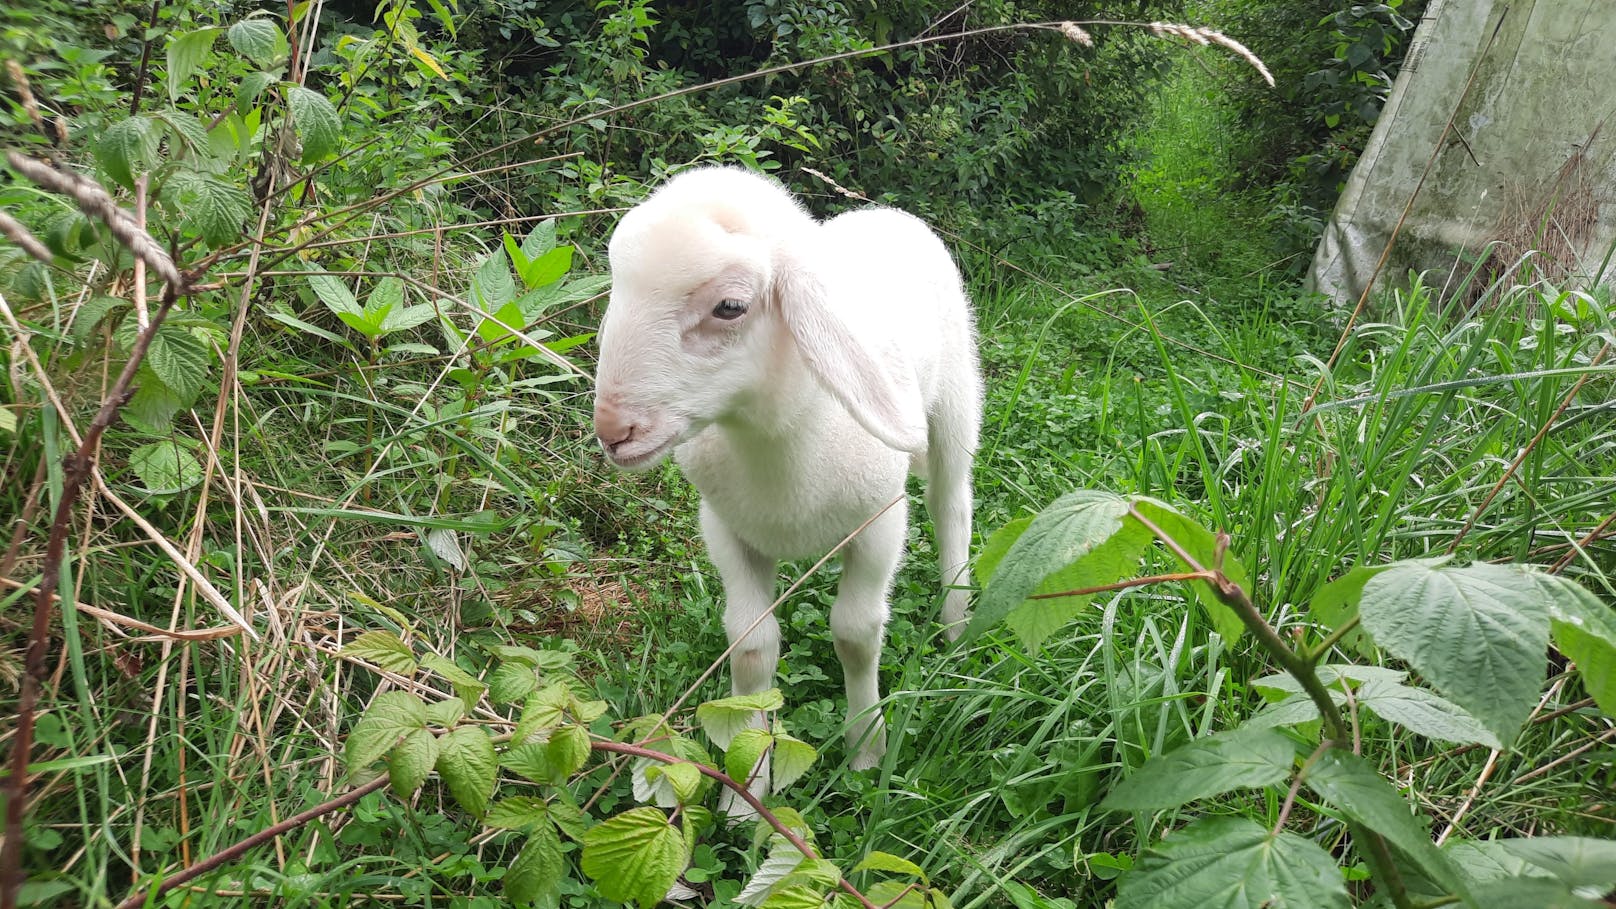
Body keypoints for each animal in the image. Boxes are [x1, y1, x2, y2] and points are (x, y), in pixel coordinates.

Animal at [591, 168, 976, 779]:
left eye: (730, 306)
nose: (612, 430)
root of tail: (885, 212)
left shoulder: (880, 523)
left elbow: (856, 633)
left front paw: (866, 749)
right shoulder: (726, 529)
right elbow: (751, 646)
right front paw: (746, 787)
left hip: (958, 393)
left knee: (951, 504)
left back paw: (957, 626)